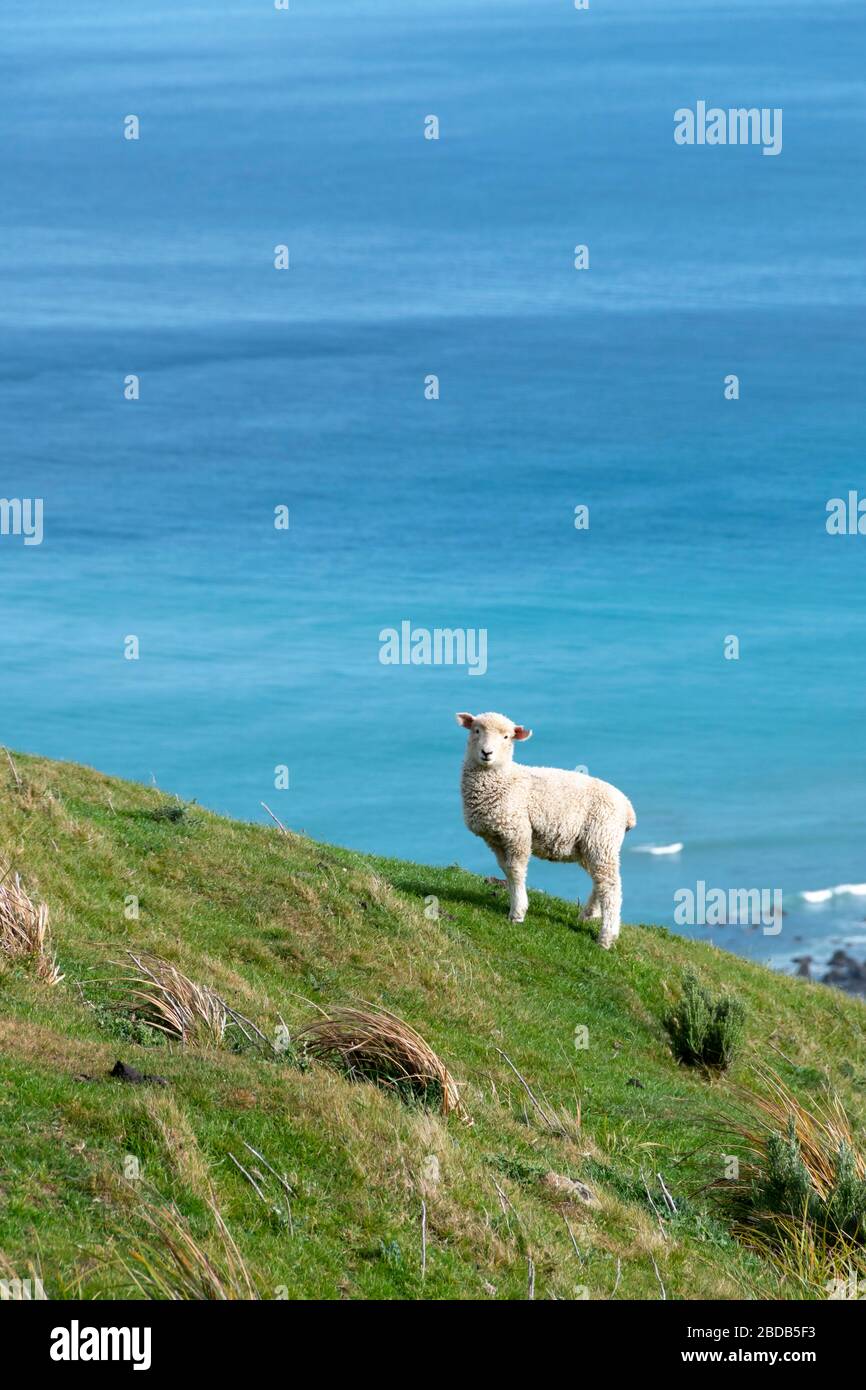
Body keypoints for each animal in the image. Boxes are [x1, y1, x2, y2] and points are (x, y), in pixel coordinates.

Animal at [461, 711, 636, 950]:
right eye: (476, 730)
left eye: (506, 737)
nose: (486, 753)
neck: (504, 778)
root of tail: (627, 807)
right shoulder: (495, 838)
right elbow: (505, 869)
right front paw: (515, 904)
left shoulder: (518, 832)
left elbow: (515, 869)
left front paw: (518, 912)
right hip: (591, 845)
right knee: (599, 880)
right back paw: (589, 914)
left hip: (602, 838)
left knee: (611, 886)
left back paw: (606, 937)